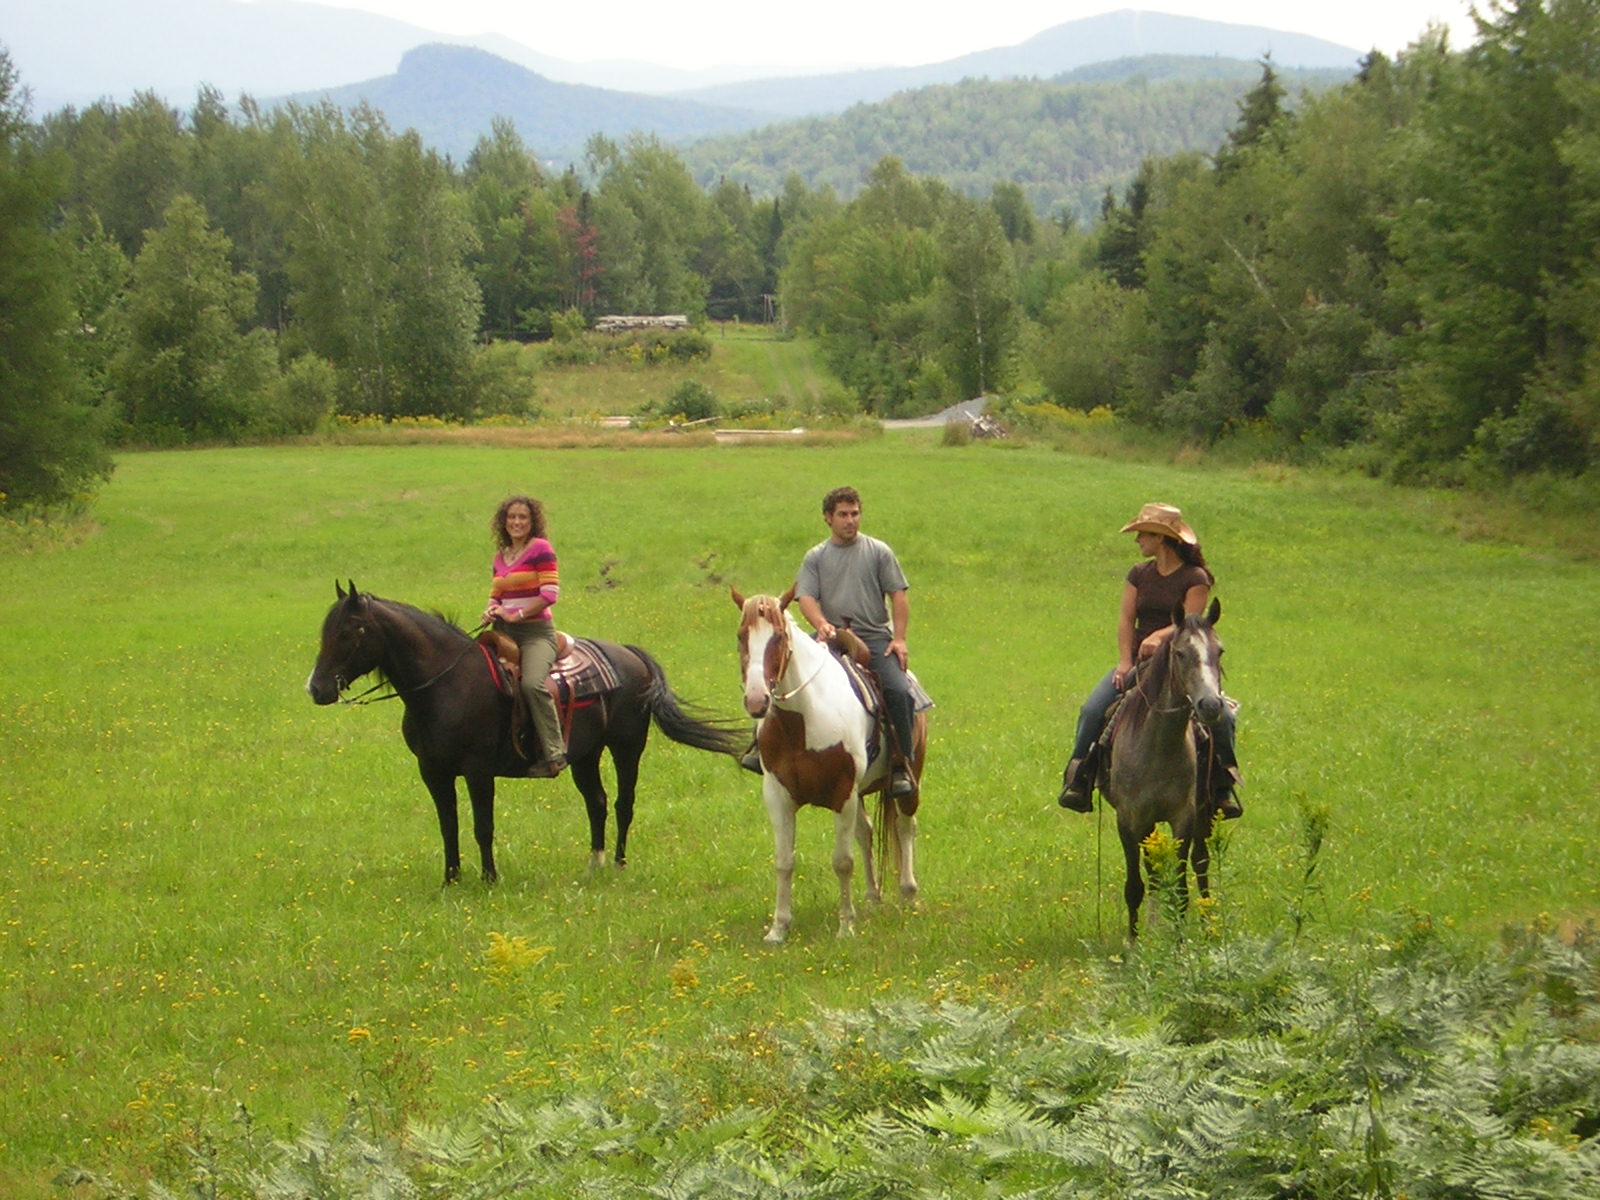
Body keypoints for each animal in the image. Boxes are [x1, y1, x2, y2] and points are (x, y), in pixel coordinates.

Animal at [307, 582, 743, 885]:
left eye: (349, 631)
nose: (316, 688)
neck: (447, 684)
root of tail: (630, 654)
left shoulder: (478, 770)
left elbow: (483, 826)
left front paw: (489, 879)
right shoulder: (433, 771)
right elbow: (448, 825)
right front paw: (451, 880)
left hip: (627, 747)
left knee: (623, 803)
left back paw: (619, 864)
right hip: (585, 754)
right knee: (597, 802)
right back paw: (594, 865)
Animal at [731, 586, 923, 944]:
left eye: (779, 636)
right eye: (741, 635)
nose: (756, 700)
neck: (802, 723)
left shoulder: (842, 793)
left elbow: (842, 861)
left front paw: (845, 926)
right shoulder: (778, 796)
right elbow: (784, 862)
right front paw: (778, 928)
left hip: (909, 782)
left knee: (906, 827)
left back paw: (908, 893)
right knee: (866, 833)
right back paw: (873, 898)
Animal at [1099, 598, 1227, 940]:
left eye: (1219, 651)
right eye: (1181, 653)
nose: (1211, 705)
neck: (1157, 746)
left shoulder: (1184, 817)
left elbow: (1182, 890)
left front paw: (1181, 948)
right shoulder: (1129, 820)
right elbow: (1135, 886)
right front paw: (1133, 946)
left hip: (1205, 812)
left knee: (1201, 864)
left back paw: (1209, 928)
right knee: (1154, 871)